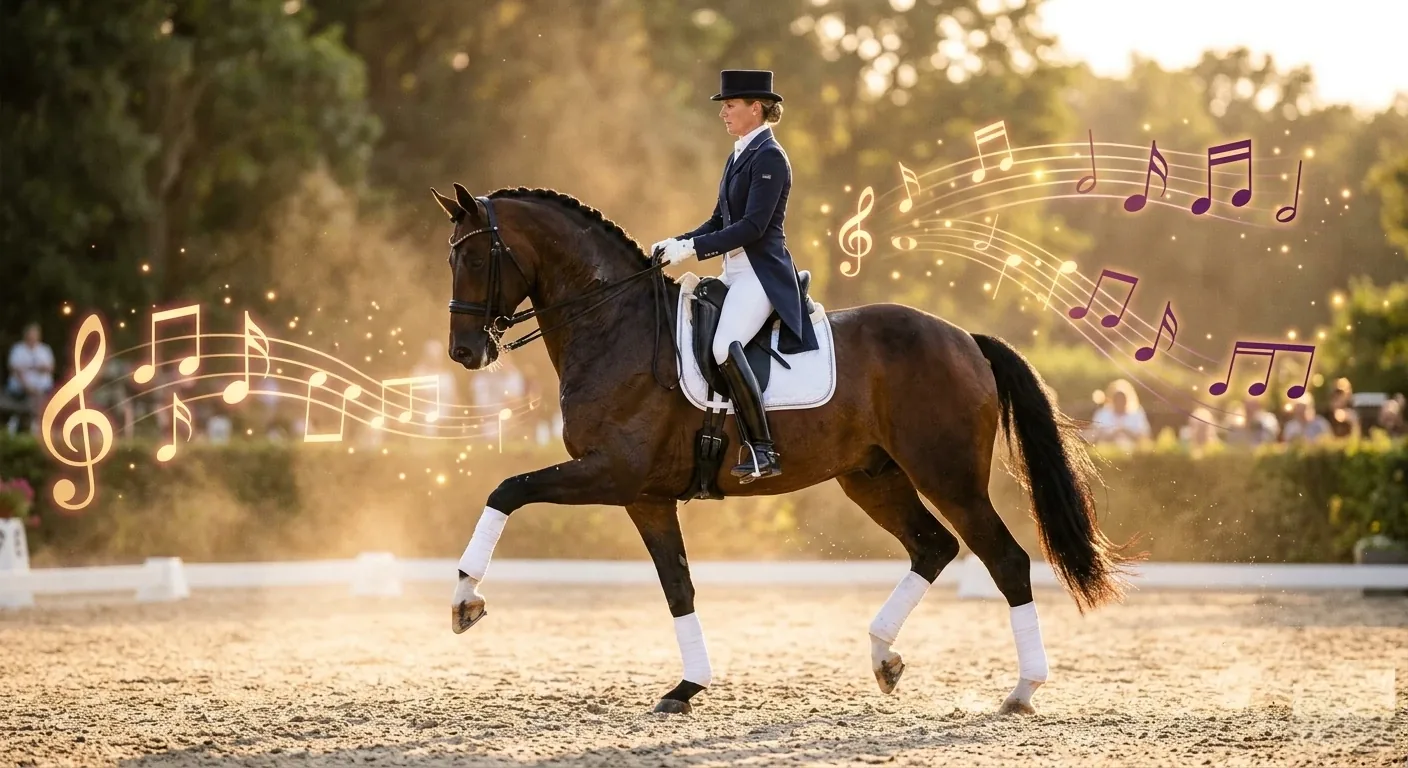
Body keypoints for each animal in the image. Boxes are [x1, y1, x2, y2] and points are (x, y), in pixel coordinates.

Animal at [431, 183, 1132, 716]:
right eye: (450, 259)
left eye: (478, 258)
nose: (465, 353)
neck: (615, 326)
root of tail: (964, 338)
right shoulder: (647, 496)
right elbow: (677, 586)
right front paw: (687, 687)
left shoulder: (611, 473)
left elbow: (507, 489)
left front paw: (465, 599)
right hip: (872, 477)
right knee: (933, 547)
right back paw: (884, 657)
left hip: (948, 475)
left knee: (1005, 560)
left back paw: (1022, 690)